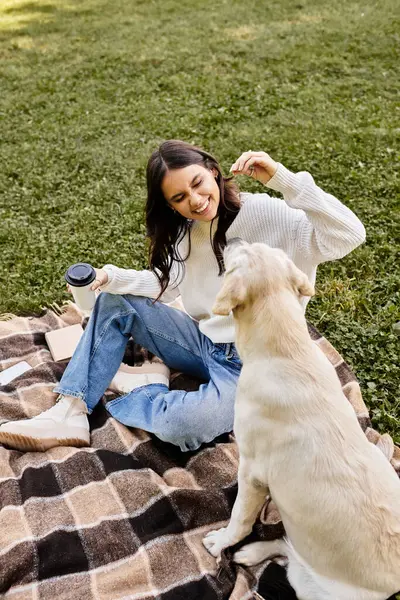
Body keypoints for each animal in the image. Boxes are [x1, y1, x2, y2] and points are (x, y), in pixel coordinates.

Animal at [203, 239, 400, 600]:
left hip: (315, 587)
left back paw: (250, 551)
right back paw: (251, 553)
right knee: (286, 546)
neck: (286, 350)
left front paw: (223, 541)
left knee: (290, 555)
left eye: (239, 254)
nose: (231, 240)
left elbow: (240, 518)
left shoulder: (252, 472)